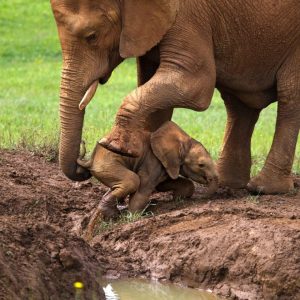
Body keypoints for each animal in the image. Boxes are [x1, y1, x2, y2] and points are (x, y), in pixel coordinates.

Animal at [50, 0, 298, 193]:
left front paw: (114, 146)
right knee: (238, 106)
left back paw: (264, 188)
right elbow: (151, 87)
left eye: (92, 36)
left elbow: (194, 84)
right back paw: (229, 183)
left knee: (289, 96)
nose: (82, 164)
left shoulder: (188, 16)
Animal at [77, 120, 218, 219]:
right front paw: (133, 217)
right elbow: (144, 188)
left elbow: (162, 184)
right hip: (107, 165)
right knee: (132, 181)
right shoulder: (152, 161)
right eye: (201, 165)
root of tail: (90, 160)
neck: (182, 141)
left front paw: (177, 198)